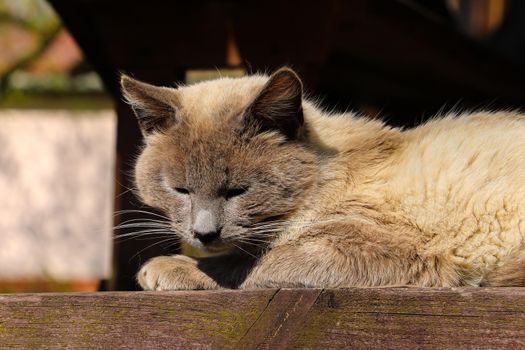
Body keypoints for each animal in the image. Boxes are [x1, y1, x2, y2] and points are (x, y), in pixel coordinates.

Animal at [118, 67, 524, 290]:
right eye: (180, 190)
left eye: (238, 191)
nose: (204, 233)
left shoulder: (363, 244)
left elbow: (254, 266)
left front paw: (165, 269)